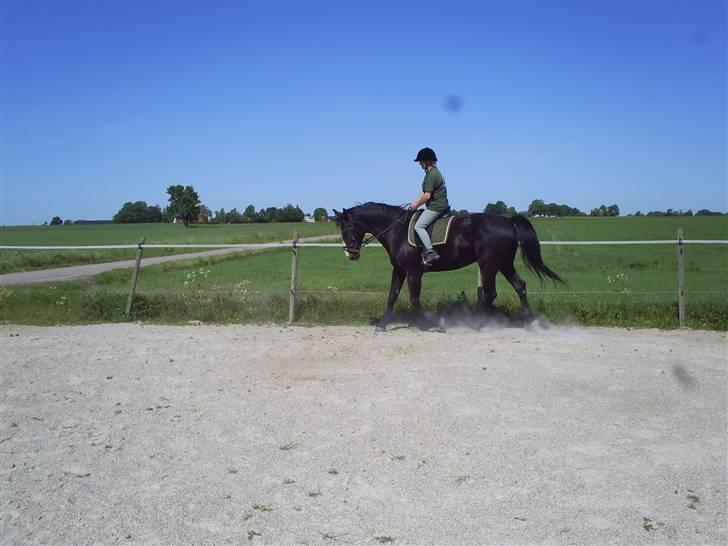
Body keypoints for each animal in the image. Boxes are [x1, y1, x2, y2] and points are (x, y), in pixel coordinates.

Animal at [332, 203, 564, 330]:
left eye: (347, 228)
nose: (350, 254)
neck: (396, 231)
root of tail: (508, 221)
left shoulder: (413, 273)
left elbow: (415, 301)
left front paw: (437, 322)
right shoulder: (399, 271)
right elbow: (392, 296)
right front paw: (382, 325)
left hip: (488, 265)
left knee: (490, 293)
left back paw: (478, 323)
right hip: (504, 264)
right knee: (520, 286)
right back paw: (530, 320)